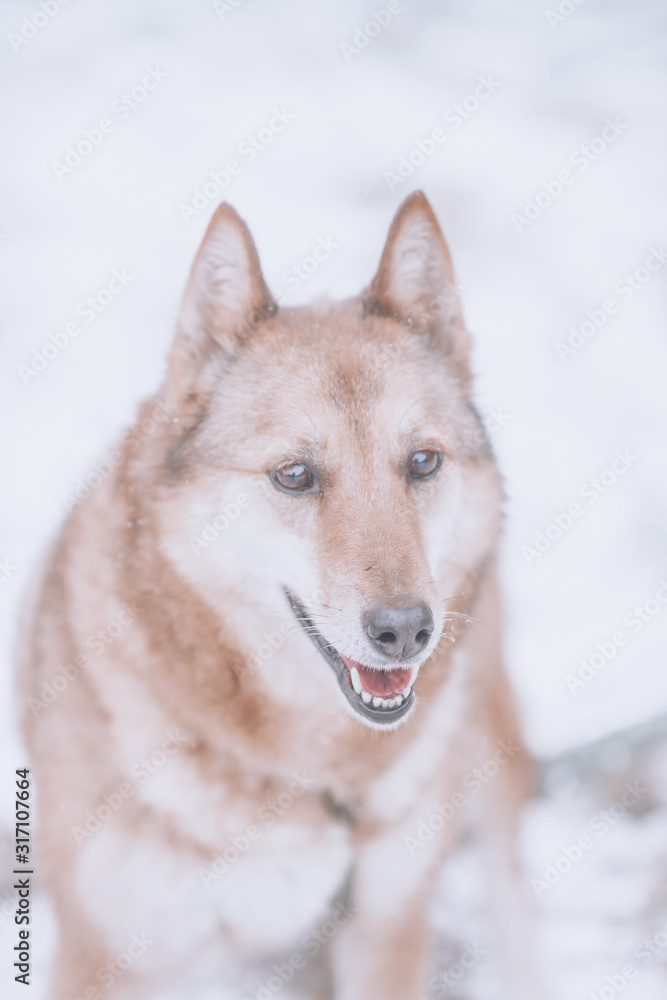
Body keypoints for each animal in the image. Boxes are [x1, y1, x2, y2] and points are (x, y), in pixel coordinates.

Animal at [20, 191, 544, 996]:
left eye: (422, 462)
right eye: (294, 475)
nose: (405, 630)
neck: (300, 769)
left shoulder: (383, 926)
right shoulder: (111, 953)